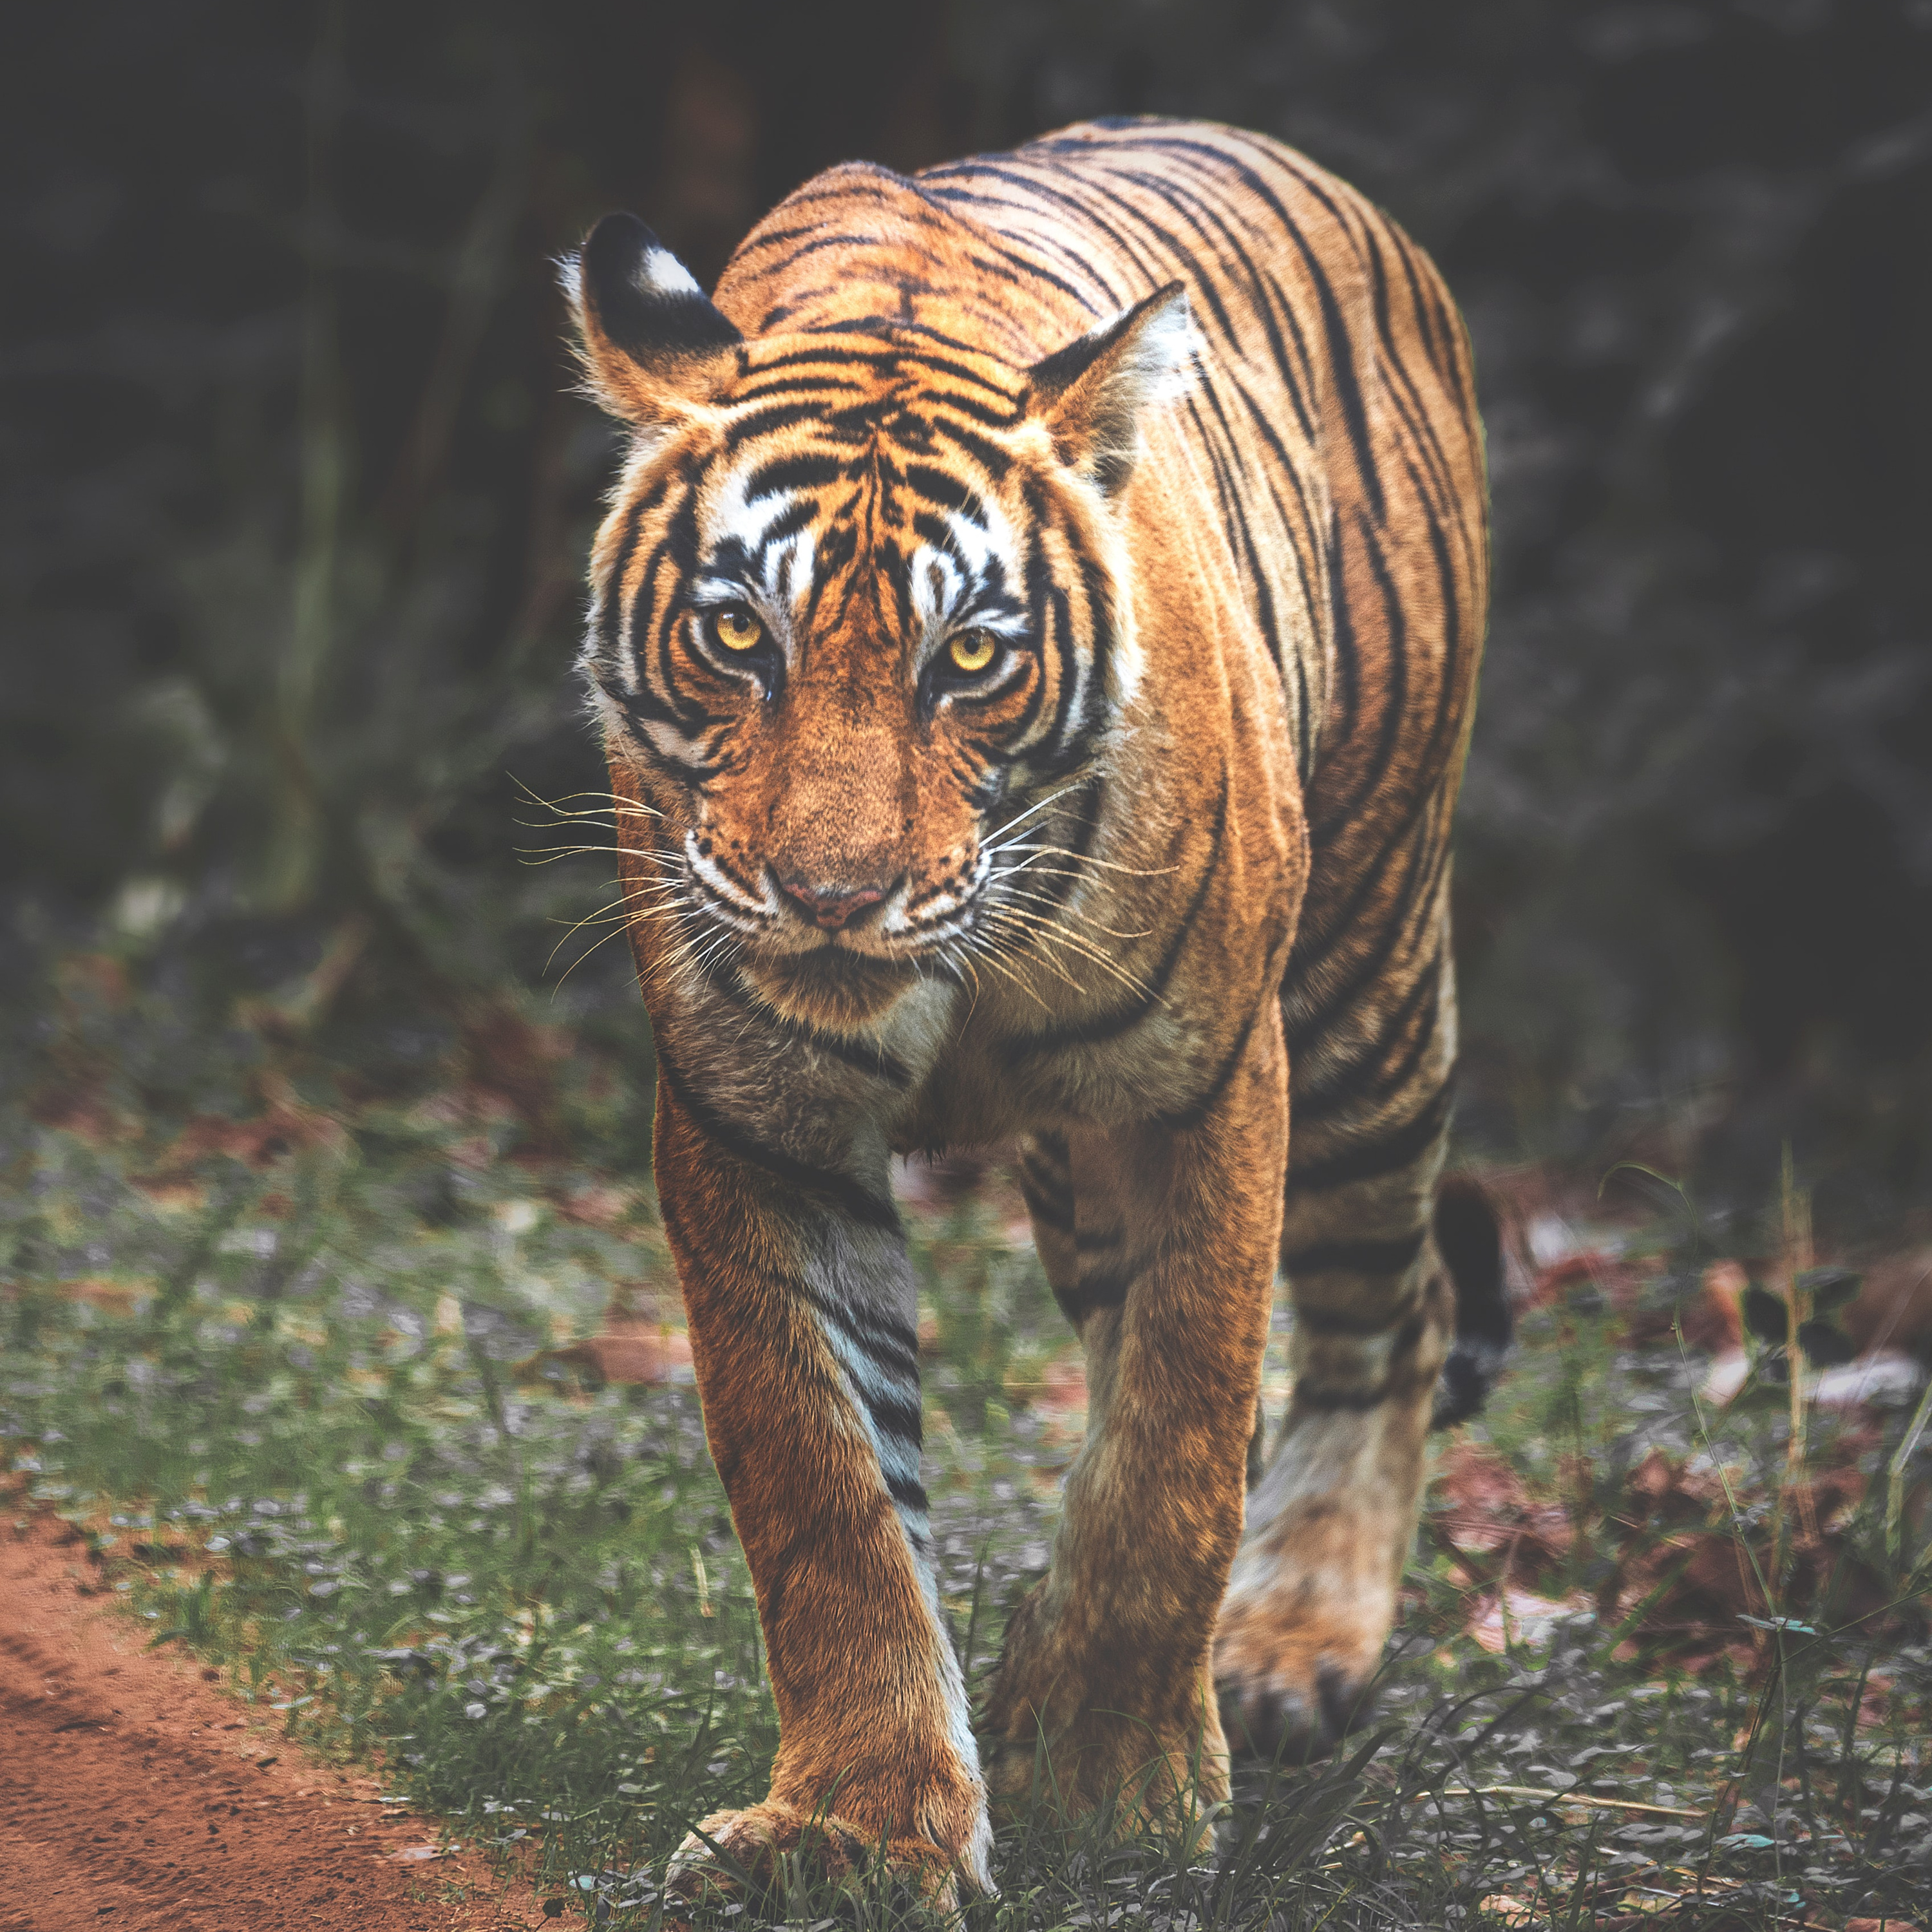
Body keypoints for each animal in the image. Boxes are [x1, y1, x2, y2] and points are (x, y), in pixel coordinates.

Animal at [564, 116, 1502, 1903]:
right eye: (737, 632)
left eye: (972, 657)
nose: (831, 895)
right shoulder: (753, 1119)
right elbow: (825, 1489)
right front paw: (858, 1827)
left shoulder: (1206, 1084)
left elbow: (1174, 1448)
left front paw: (1122, 1788)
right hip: (1081, 1175)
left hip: (1363, 985)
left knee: (1385, 1312)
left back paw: (1289, 1645)